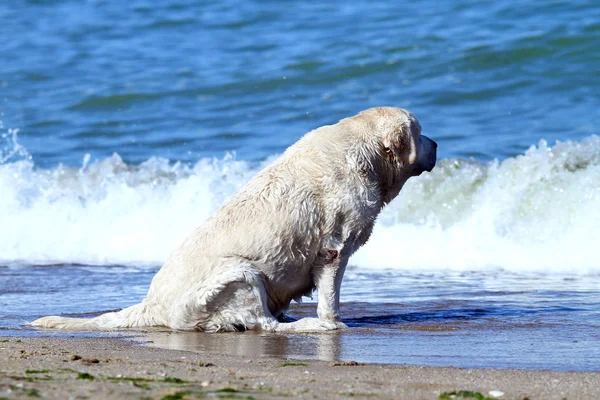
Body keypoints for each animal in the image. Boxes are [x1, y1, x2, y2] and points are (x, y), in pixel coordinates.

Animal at [31, 105, 436, 332]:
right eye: (420, 132)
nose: (437, 143)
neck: (369, 153)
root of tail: (151, 304)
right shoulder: (333, 250)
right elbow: (330, 294)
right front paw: (333, 322)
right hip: (240, 273)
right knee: (262, 324)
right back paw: (308, 326)